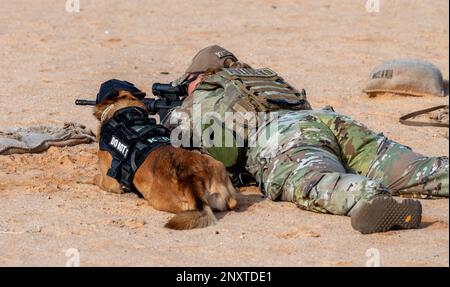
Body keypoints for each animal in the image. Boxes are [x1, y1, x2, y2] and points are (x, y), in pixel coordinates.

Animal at [93, 91, 237, 231]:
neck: (127, 112)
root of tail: (192, 178)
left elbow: (97, 179)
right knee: (232, 202)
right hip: (216, 164)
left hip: (159, 199)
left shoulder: (110, 183)